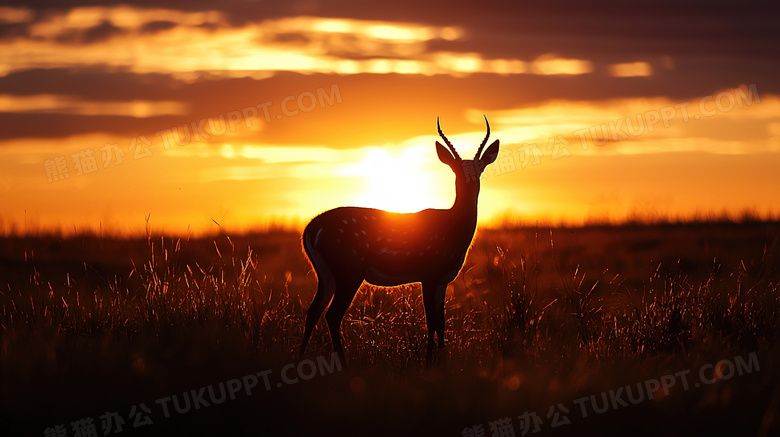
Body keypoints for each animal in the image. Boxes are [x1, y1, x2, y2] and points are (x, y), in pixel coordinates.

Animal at [298, 115, 500, 364]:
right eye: (456, 170)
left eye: (480, 168)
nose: (471, 183)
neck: (454, 232)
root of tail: (311, 229)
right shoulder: (428, 273)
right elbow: (431, 322)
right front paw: (428, 364)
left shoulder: (443, 279)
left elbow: (441, 322)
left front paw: (443, 362)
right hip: (349, 268)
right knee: (332, 314)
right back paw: (344, 366)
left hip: (326, 273)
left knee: (313, 310)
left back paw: (299, 360)